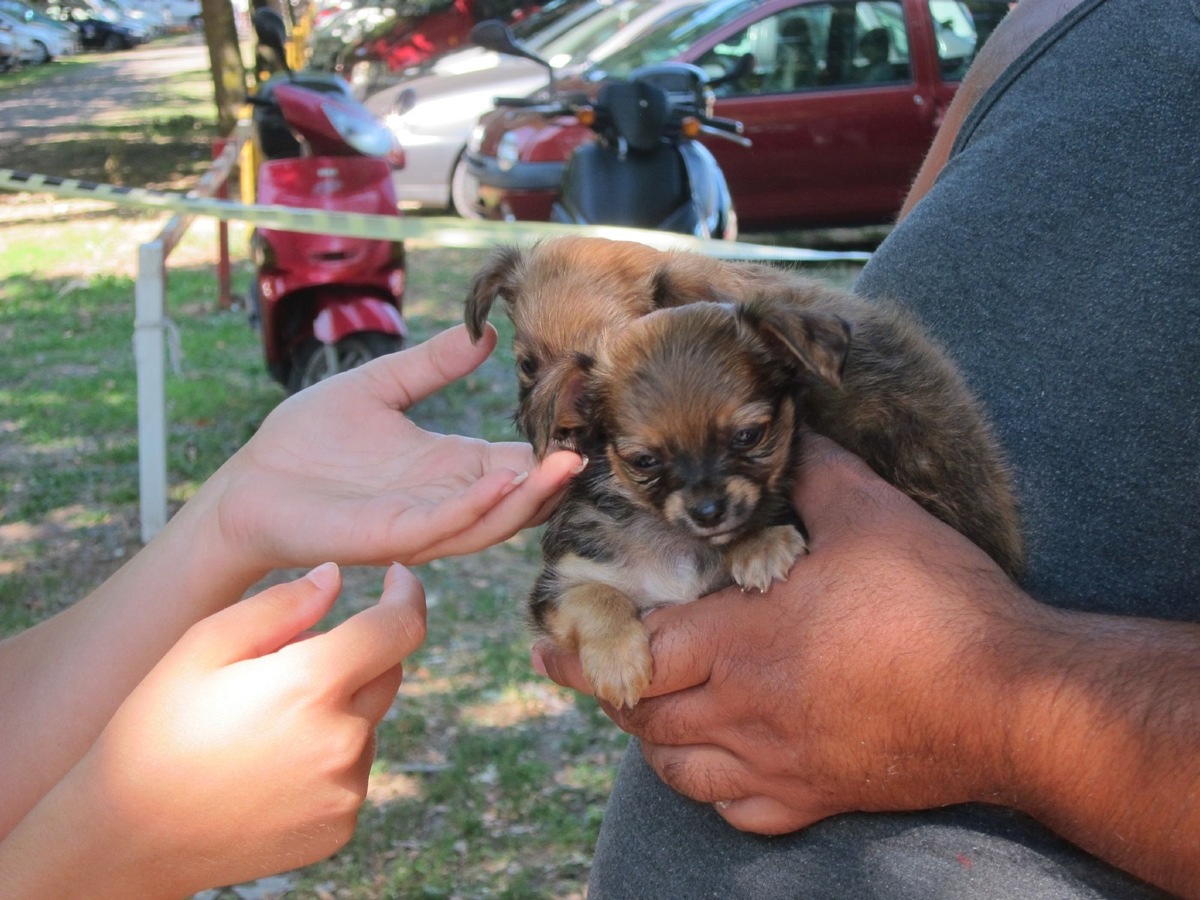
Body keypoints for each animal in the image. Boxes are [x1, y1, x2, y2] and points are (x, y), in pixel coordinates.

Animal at [530, 300, 849, 710]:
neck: (675, 543)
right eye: (644, 461)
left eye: (749, 435)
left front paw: (761, 543)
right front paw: (617, 660)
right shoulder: (558, 584)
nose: (709, 512)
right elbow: (594, 594)